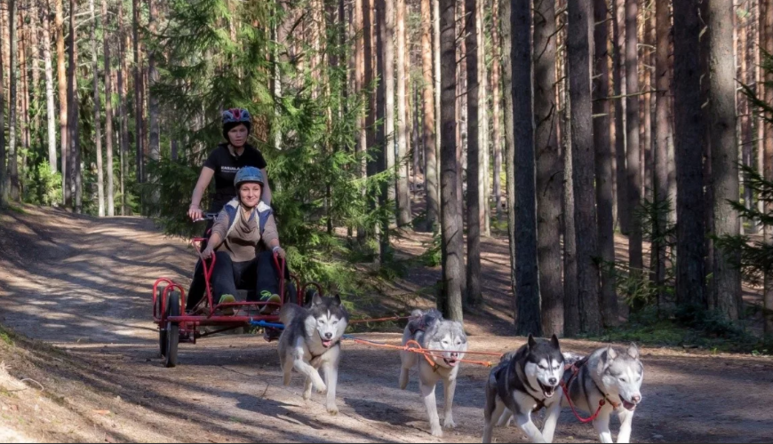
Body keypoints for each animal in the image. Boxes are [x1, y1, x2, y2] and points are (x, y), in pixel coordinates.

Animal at [402, 308, 468, 438]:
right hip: (409, 358)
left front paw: (448, 422)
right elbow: (433, 412)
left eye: (458, 343)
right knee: (404, 366)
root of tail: (421, 314)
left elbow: (448, 405)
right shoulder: (428, 385)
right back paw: (403, 382)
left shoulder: (450, 381)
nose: (454, 354)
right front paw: (436, 430)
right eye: (445, 342)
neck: (439, 365)